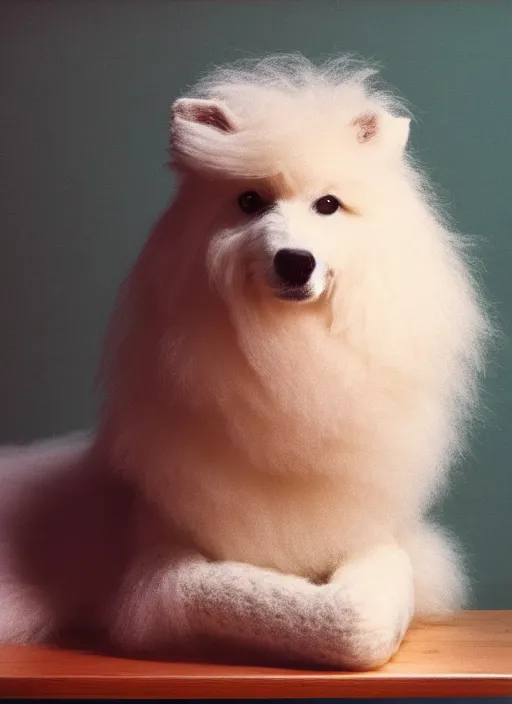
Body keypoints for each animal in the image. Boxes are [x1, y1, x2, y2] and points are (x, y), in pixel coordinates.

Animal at [0, 56, 490, 672]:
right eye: (250, 202)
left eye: (328, 205)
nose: (295, 261)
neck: (290, 359)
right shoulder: (159, 576)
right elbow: (262, 600)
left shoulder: (383, 544)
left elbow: (359, 617)